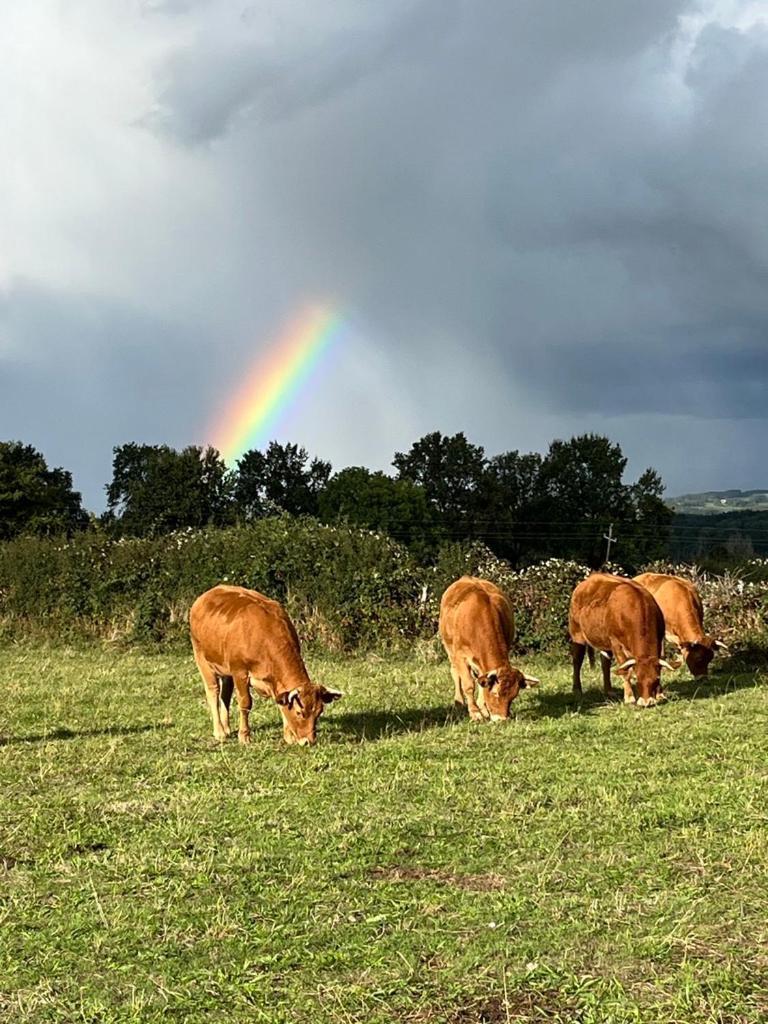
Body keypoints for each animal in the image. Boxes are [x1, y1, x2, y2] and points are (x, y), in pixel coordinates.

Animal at [189, 585, 342, 745]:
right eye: (299, 712)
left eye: (319, 712)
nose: (308, 741)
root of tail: (208, 593)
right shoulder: (240, 672)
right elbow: (245, 703)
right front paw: (244, 736)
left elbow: (281, 701)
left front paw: (288, 736)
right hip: (201, 658)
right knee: (213, 692)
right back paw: (219, 732)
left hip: (225, 668)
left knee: (225, 694)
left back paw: (226, 728)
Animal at [438, 577, 540, 720]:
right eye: (496, 693)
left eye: (513, 697)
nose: (501, 719)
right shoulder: (461, 656)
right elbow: (468, 684)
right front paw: (475, 712)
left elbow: (482, 683)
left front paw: (483, 709)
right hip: (449, 648)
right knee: (455, 673)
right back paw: (459, 702)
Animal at [569, 573, 671, 708]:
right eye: (637, 679)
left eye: (656, 679)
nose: (646, 702)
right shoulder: (616, 643)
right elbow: (625, 671)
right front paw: (629, 697)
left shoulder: (660, 639)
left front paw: (660, 695)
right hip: (577, 634)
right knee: (577, 661)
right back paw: (577, 690)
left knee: (605, 662)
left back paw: (609, 690)